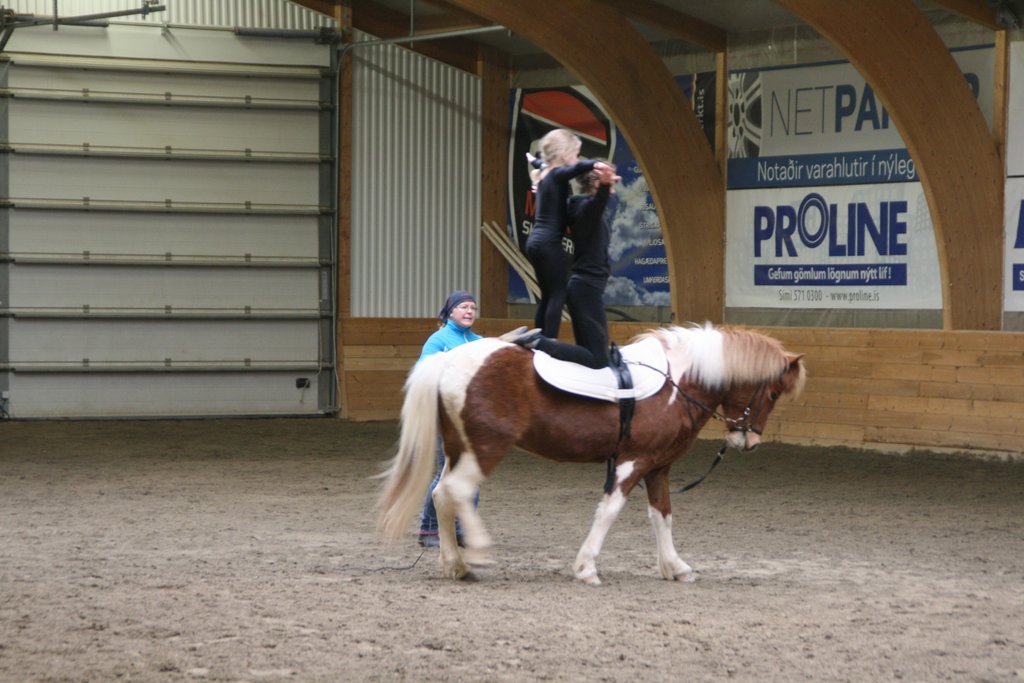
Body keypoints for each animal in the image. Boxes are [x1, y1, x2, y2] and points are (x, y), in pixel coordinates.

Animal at [376, 322, 805, 585]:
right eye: (771, 393)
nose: (748, 441)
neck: (676, 381)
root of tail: (448, 359)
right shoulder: (633, 462)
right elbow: (610, 511)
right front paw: (586, 568)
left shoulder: (658, 467)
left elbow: (662, 516)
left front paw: (675, 566)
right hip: (484, 450)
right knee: (458, 493)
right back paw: (477, 553)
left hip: (458, 449)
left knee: (440, 495)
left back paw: (455, 564)